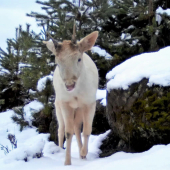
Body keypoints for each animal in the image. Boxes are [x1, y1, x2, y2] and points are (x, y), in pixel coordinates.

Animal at [42, 28, 98, 165]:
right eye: (57, 62)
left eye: (78, 59)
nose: (69, 84)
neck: (76, 94)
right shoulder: (65, 103)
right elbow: (68, 132)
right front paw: (67, 162)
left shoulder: (90, 102)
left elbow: (87, 130)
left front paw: (84, 153)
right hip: (58, 105)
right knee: (61, 129)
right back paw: (60, 150)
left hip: (79, 109)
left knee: (77, 127)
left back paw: (82, 153)